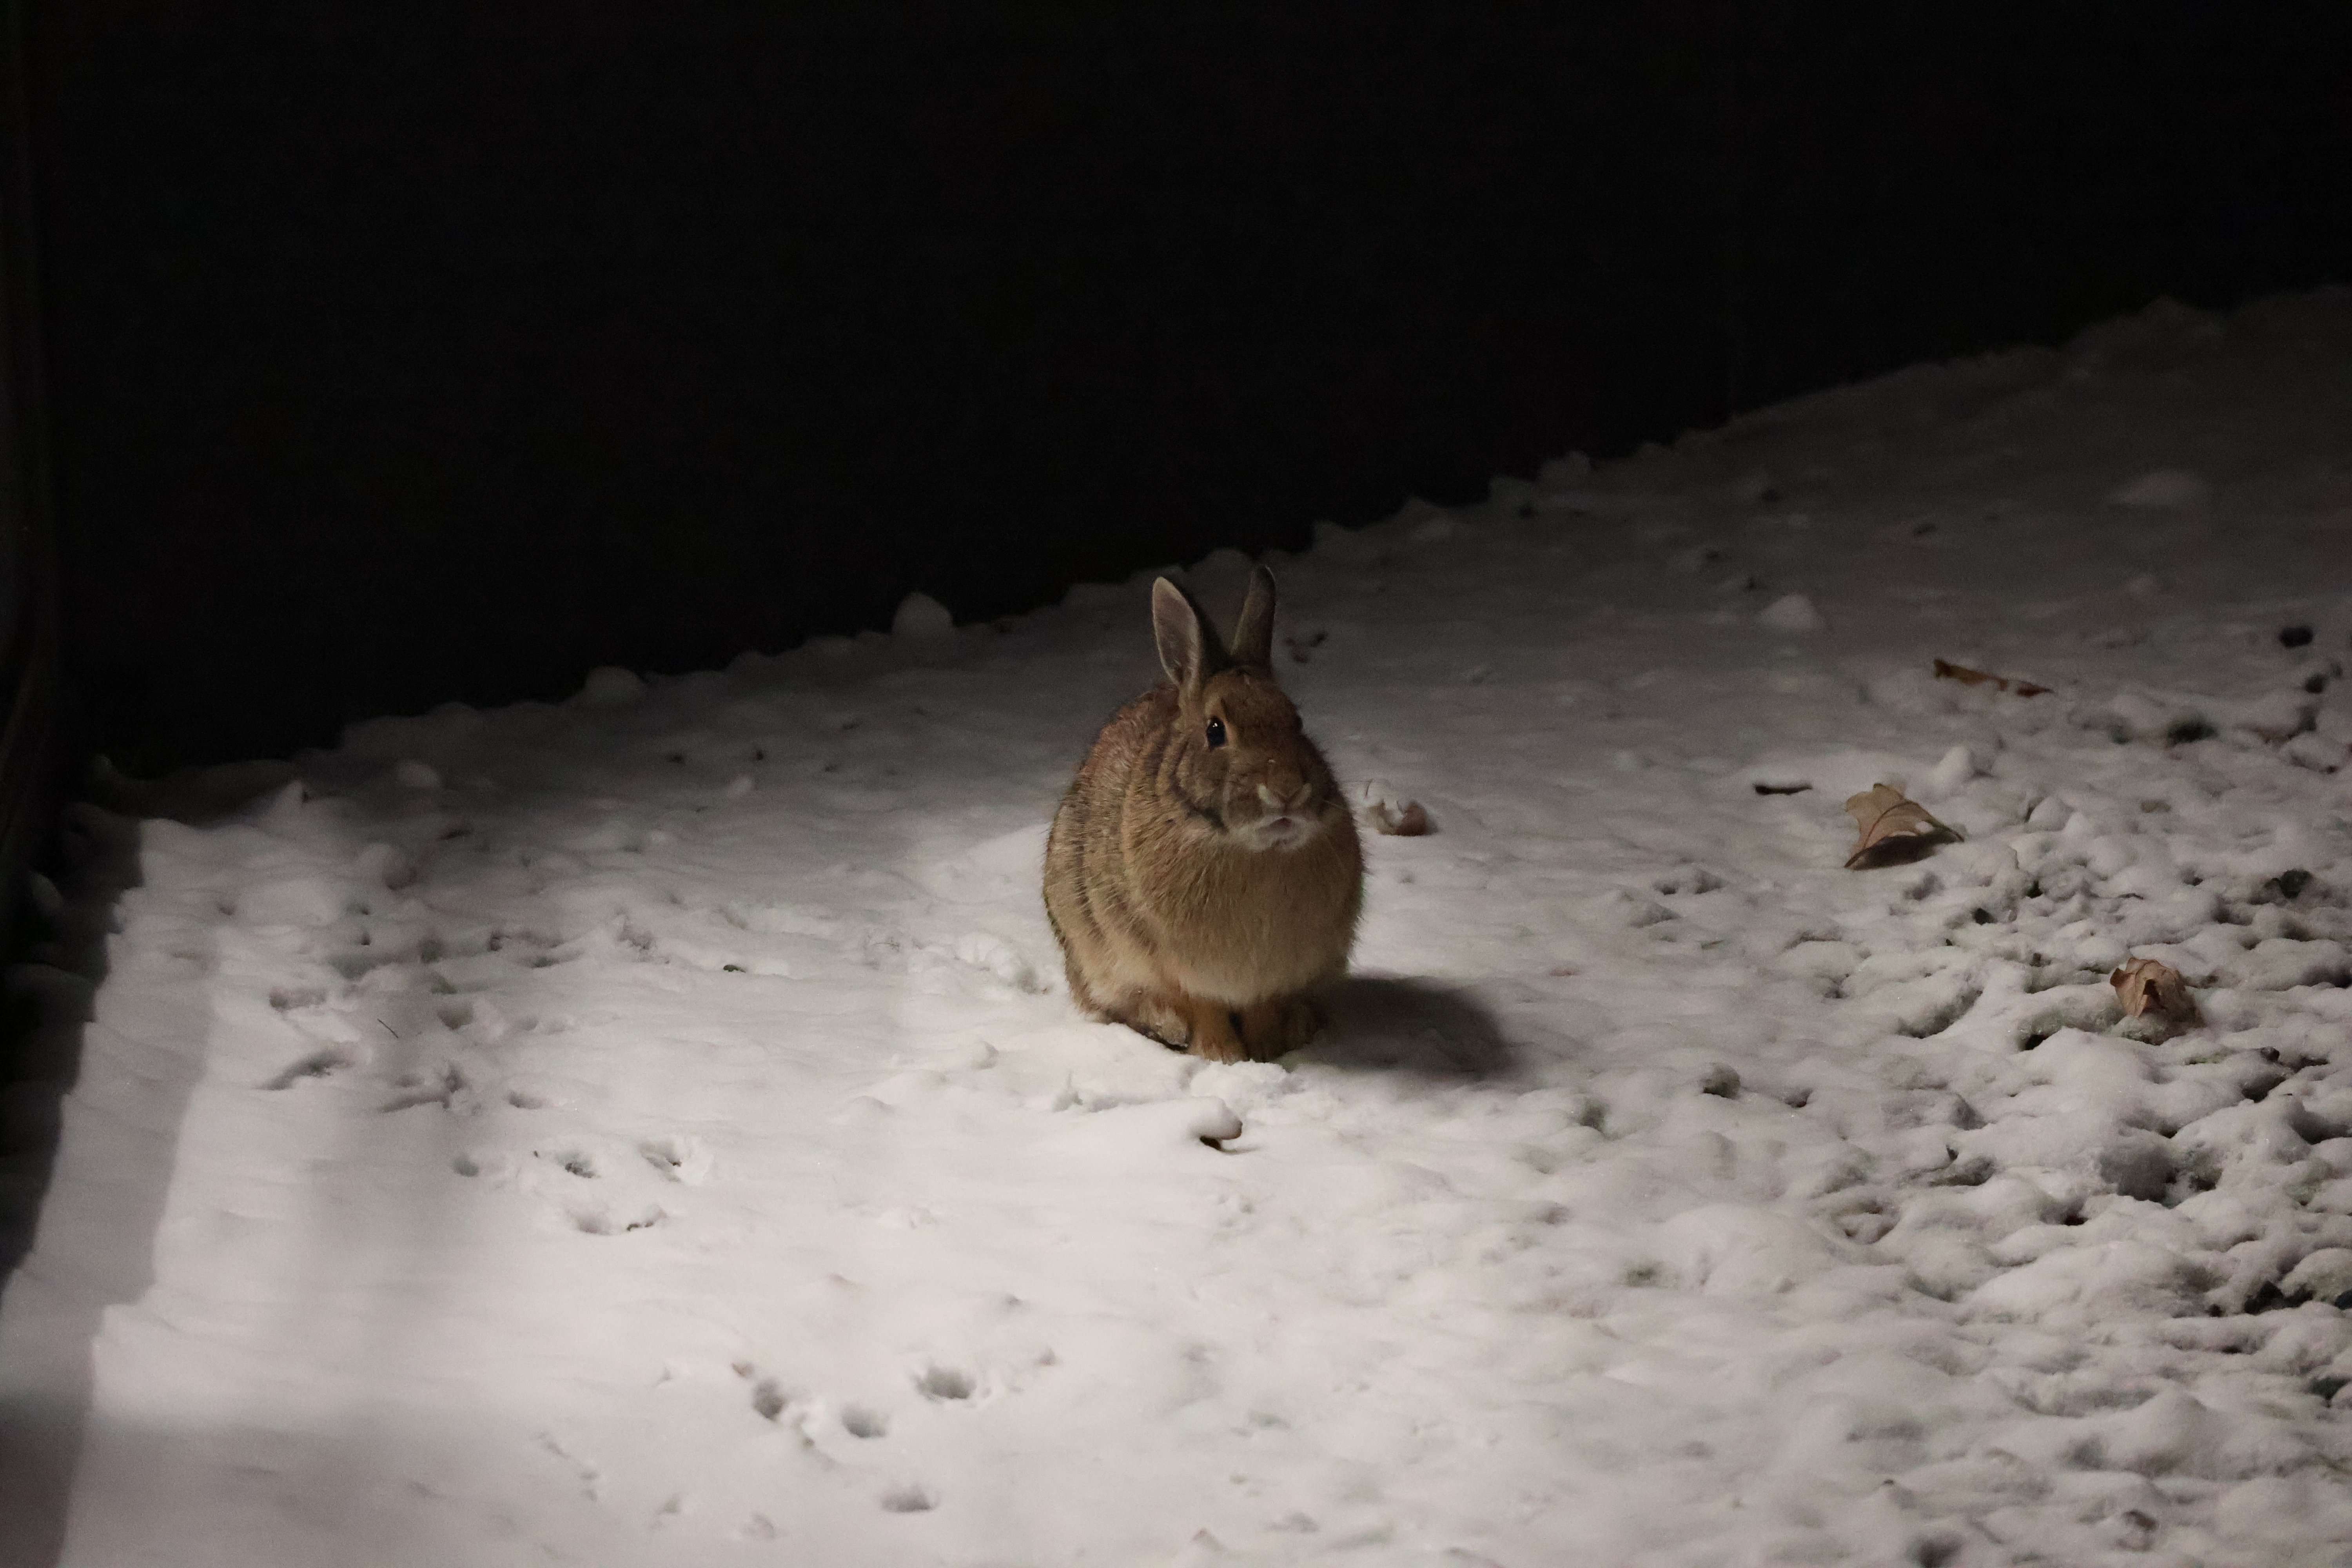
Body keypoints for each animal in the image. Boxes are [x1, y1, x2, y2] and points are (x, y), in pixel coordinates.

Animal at [1043, 564, 1362, 1062]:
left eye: (1297, 722)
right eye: (1215, 731)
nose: (1287, 791)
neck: (1254, 849)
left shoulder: (1274, 977)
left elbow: (1262, 1008)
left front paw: (1266, 1050)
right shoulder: (1177, 969)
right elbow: (1202, 1007)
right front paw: (1222, 1056)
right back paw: (1168, 1026)